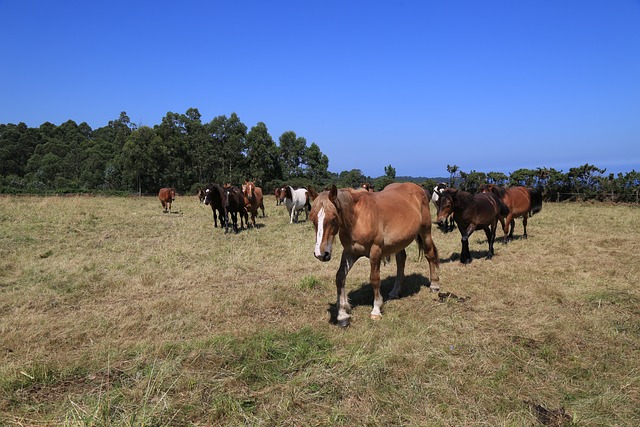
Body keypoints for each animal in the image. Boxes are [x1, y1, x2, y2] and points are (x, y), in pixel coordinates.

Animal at [308, 183, 440, 328]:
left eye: (333, 218)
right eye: (312, 218)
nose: (321, 254)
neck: (358, 218)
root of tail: (419, 189)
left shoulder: (375, 251)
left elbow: (375, 279)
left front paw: (376, 310)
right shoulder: (349, 252)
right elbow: (340, 277)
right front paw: (342, 315)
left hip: (425, 232)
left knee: (430, 255)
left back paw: (434, 285)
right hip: (399, 242)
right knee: (401, 261)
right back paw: (395, 292)